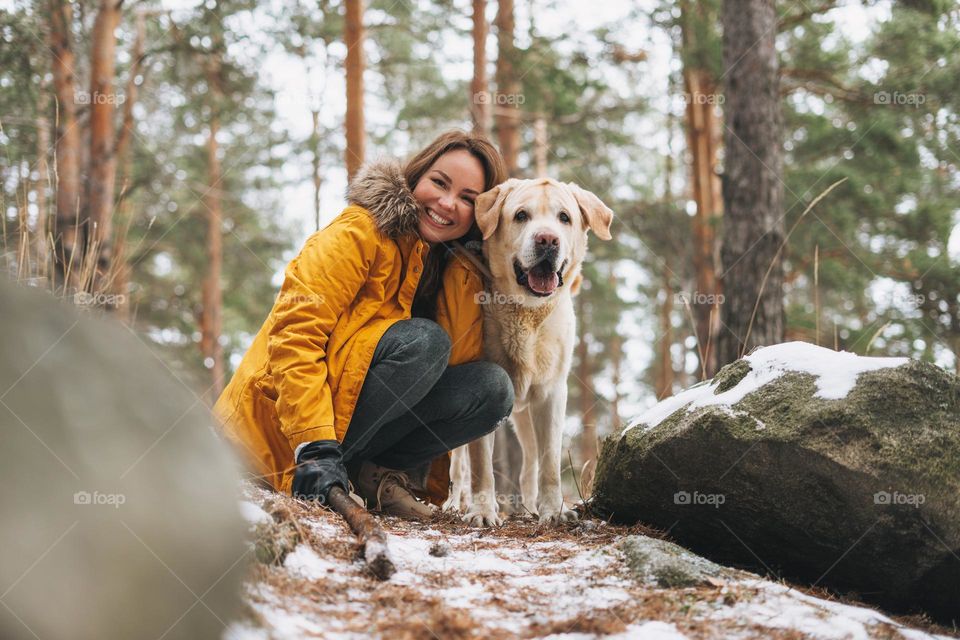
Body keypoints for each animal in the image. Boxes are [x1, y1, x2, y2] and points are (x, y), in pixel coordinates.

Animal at [444, 176, 616, 524]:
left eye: (564, 218)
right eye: (521, 215)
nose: (547, 240)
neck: (527, 314)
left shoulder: (552, 394)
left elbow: (549, 463)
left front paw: (552, 511)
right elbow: (481, 464)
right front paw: (483, 511)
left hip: (524, 415)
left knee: (530, 465)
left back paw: (528, 508)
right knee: (458, 464)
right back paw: (455, 503)